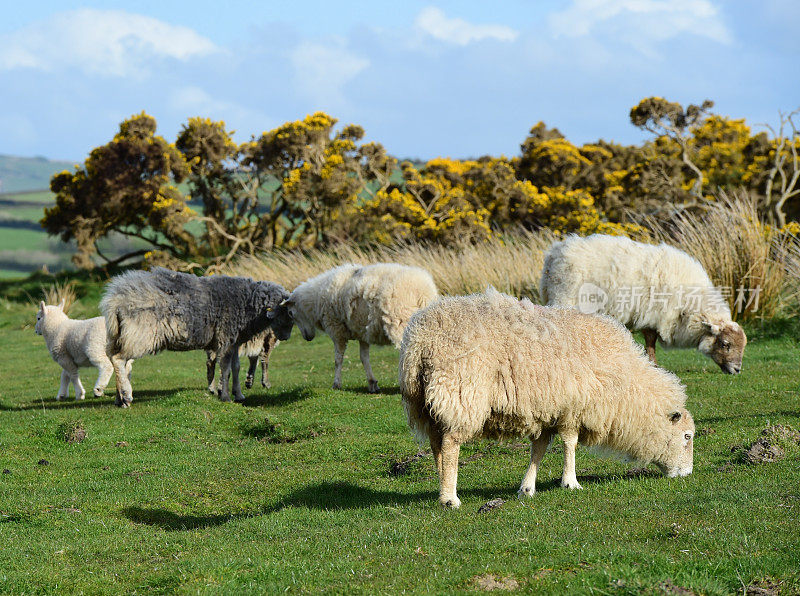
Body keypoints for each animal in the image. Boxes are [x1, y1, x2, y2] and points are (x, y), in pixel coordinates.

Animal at [99, 268, 292, 408]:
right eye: (283, 313)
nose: (286, 337)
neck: (246, 303)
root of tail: (115, 299)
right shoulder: (225, 339)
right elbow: (225, 368)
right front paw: (226, 396)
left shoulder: (234, 341)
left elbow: (235, 368)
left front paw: (239, 394)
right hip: (139, 335)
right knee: (118, 359)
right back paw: (127, 395)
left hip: (118, 335)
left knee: (117, 360)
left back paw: (120, 399)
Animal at [284, 264, 438, 394]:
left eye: (290, 313)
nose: (308, 338)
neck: (315, 302)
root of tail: (422, 291)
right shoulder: (363, 332)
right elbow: (364, 358)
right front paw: (372, 384)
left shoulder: (336, 329)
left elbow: (338, 359)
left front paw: (336, 384)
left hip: (401, 322)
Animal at [398, 288, 692, 508]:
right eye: (687, 436)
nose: (687, 474)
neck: (625, 385)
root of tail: (421, 341)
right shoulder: (573, 406)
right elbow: (570, 444)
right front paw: (571, 482)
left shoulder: (548, 411)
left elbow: (538, 449)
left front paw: (527, 488)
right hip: (461, 395)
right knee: (450, 445)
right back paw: (450, 497)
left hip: (424, 403)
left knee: (436, 445)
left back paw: (441, 485)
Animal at [540, 233, 748, 372]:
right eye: (725, 344)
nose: (737, 370)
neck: (690, 306)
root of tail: (555, 253)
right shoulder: (654, 313)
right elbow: (650, 341)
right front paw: (653, 365)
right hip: (565, 297)